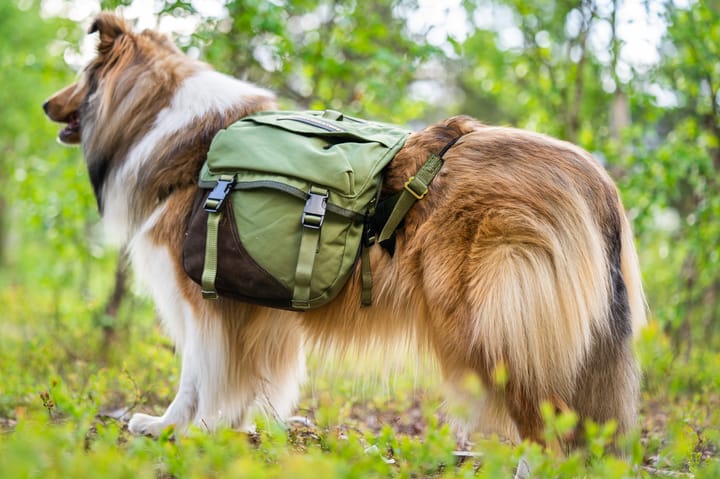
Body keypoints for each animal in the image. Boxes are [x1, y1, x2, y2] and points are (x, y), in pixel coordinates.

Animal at [43, 12, 648, 446]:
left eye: (81, 76)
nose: (47, 105)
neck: (170, 130)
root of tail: (596, 178)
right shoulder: (254, 310)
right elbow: (241, 377)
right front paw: (231, 428)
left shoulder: (200, 296)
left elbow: (197, 372)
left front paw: (171, 428)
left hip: (492, 328)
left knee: (547, 430)